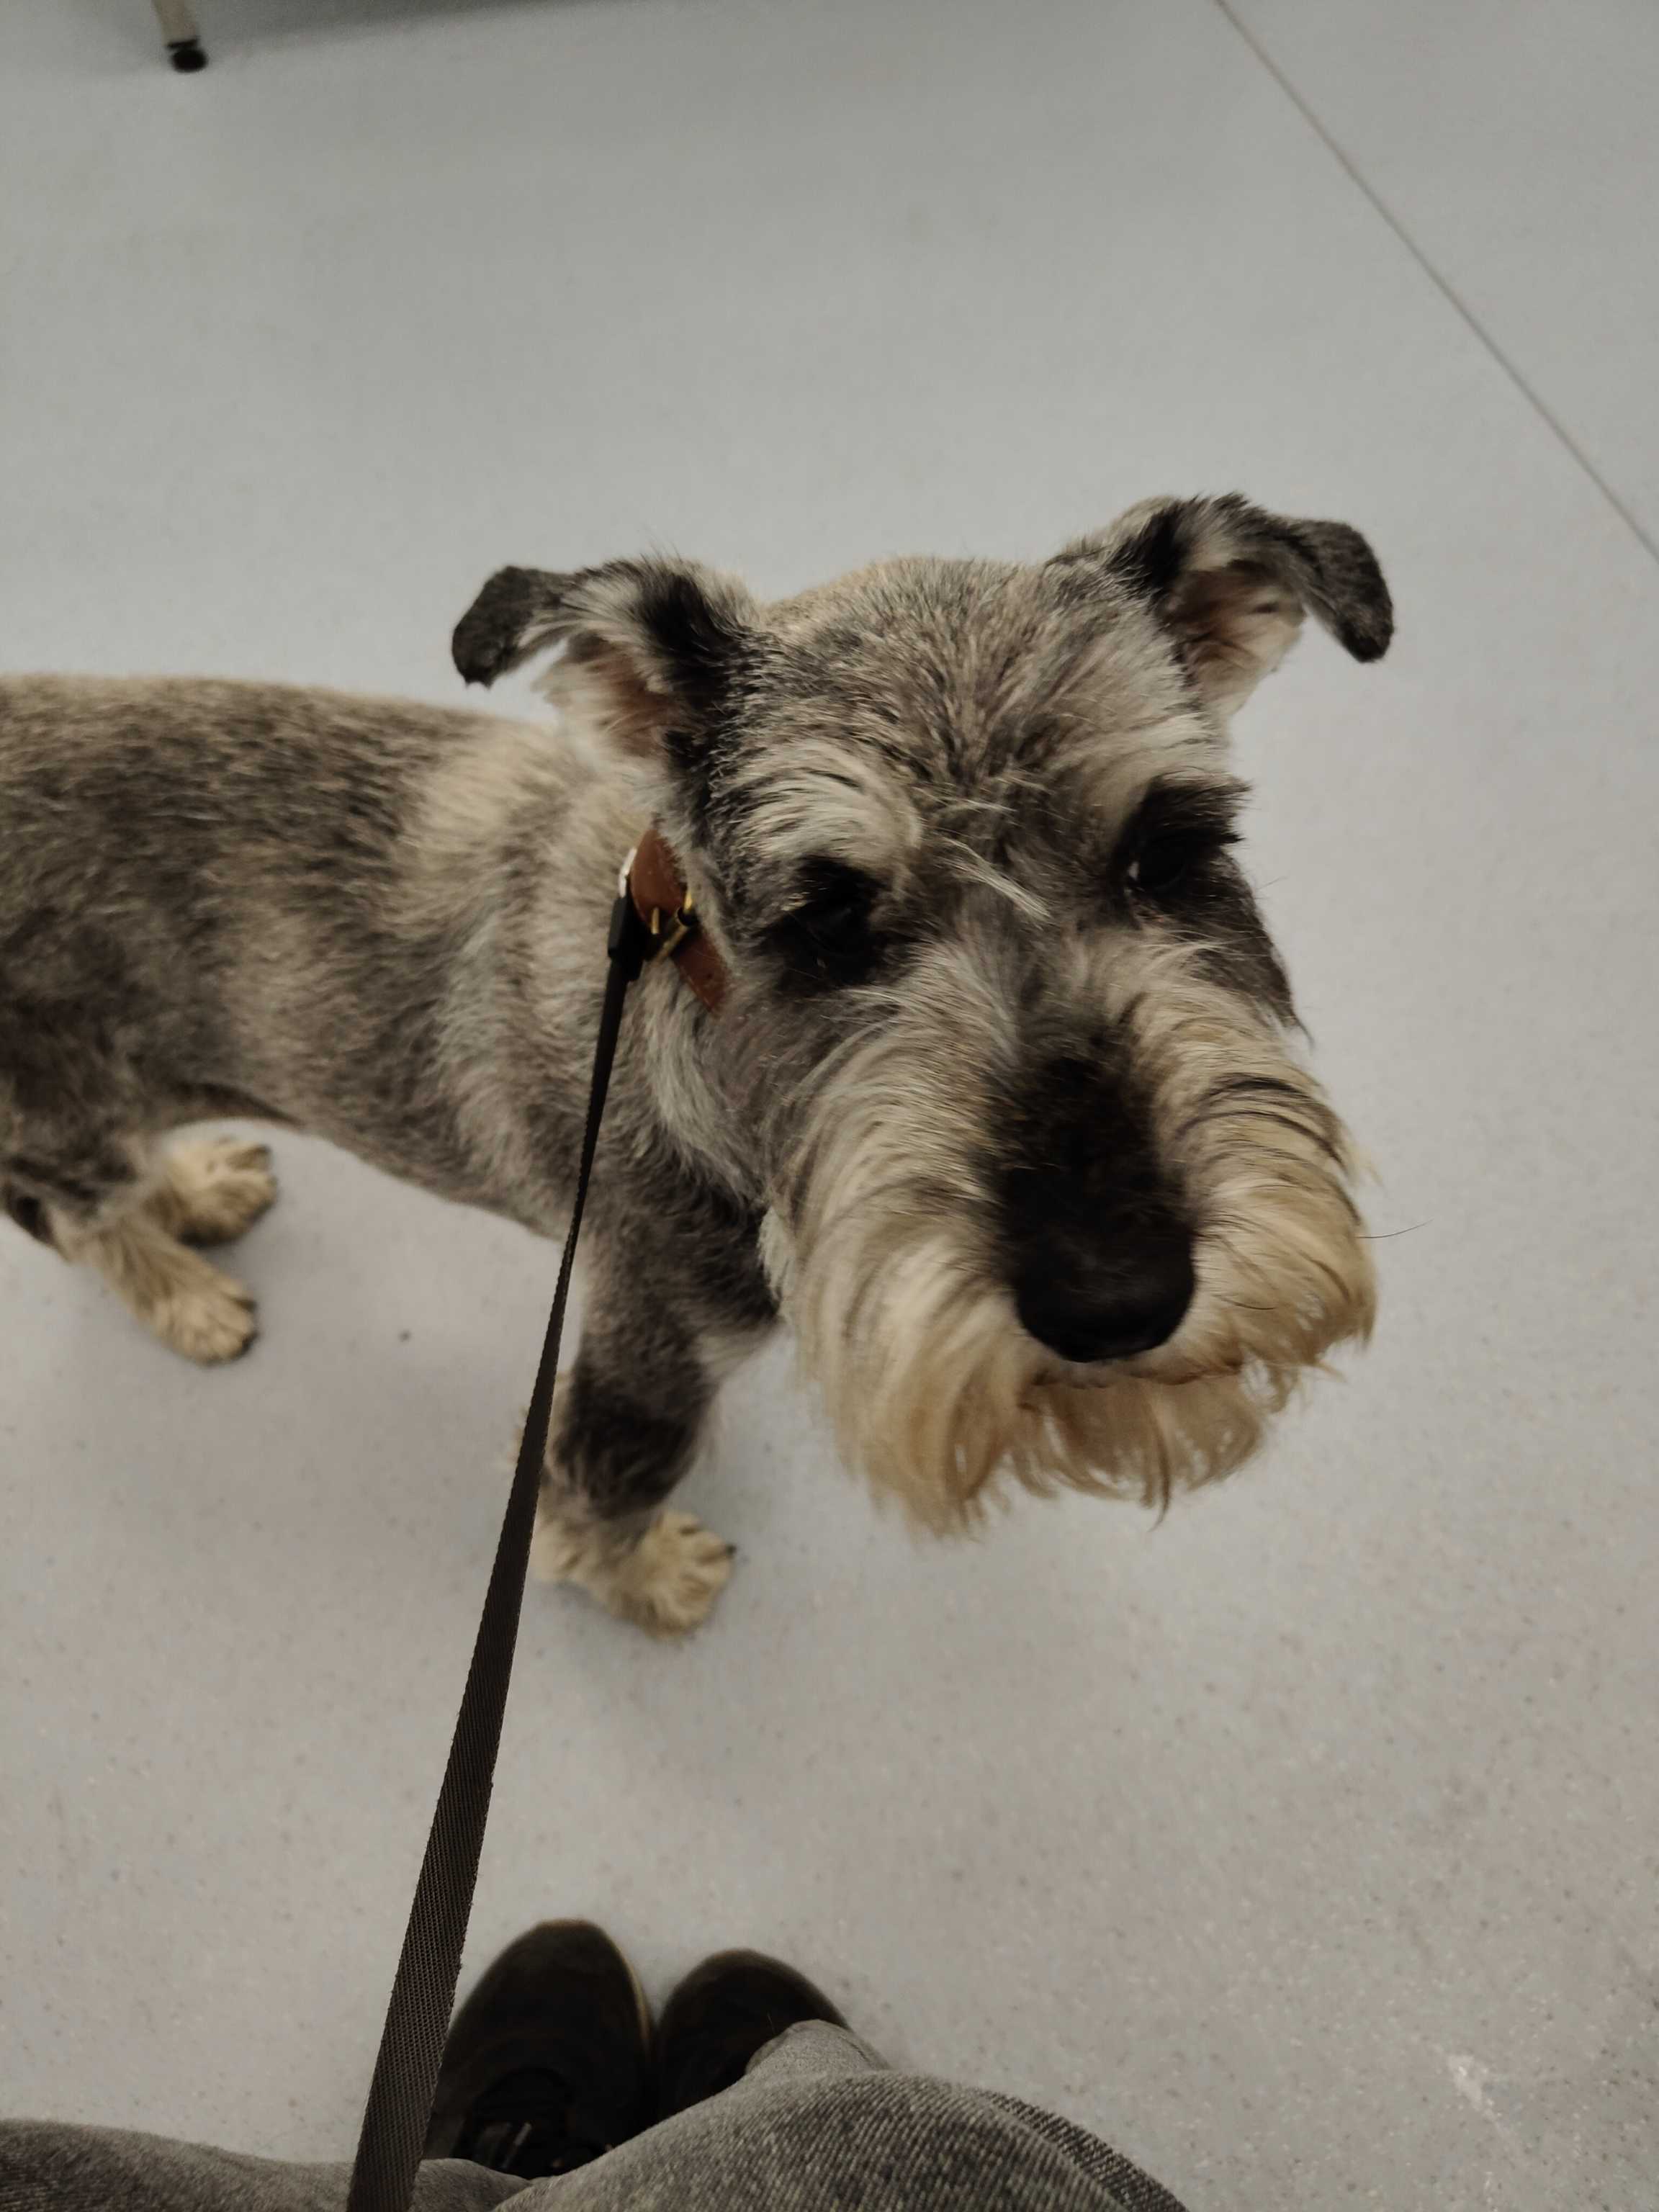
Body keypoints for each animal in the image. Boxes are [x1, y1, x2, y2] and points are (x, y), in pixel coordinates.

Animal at [0, 495, 1390, 1633]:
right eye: (826, 920)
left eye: (1171, 850)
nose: (1116, 1294)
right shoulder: (647, 1346)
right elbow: (597, 1495)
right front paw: (652, 1577)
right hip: (62, 1102)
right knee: (83, 1211)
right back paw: (187, 1289)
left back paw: (200, 1190)